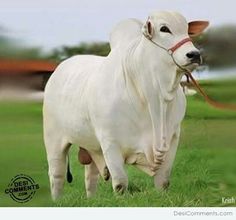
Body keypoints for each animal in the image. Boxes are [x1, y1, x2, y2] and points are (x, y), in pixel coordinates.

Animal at [42, 10, 208, 200]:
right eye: (164, 29)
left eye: (187, 30)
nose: (194, 54)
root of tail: (59, 68)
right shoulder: (110, 142)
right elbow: (120, 184)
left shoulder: (172, 138)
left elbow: (163, 182)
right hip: (53, 138)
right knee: (57, 174)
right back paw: (57, 200)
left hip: (92, 146)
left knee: (90, 176)